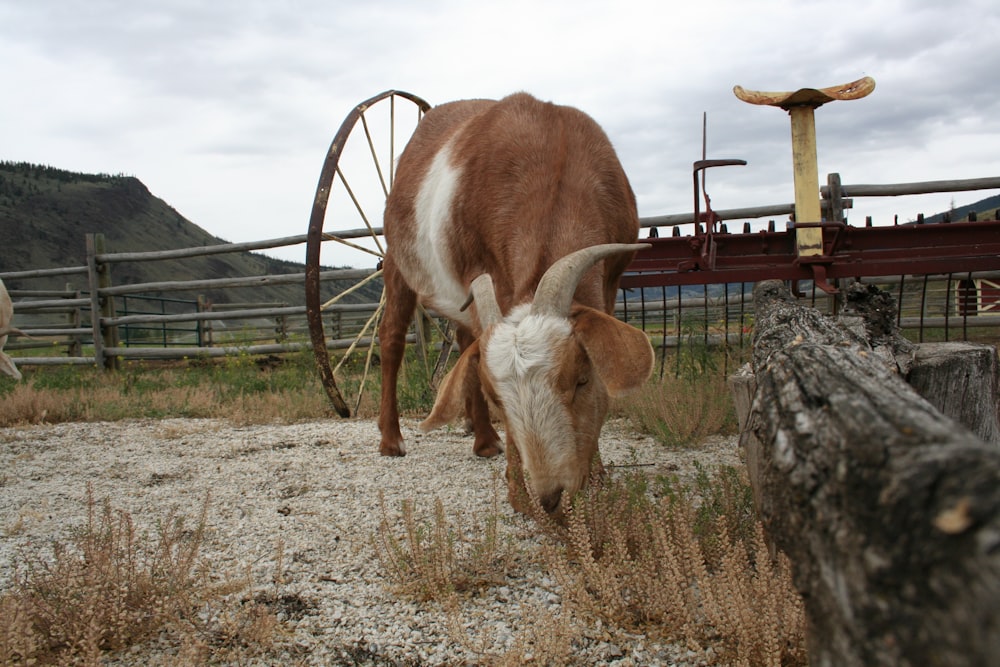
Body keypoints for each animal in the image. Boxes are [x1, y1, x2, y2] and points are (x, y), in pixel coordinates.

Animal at [378, 91, 652, 516]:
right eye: (498, 399)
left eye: (582, 379)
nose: (550, 497)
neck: (556, 150)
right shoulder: (486, 273)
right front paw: (517, 491)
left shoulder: (612, 279)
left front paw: (598, 477)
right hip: (397, 259)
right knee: (391, 338)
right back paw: (392, 440)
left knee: (464, 341)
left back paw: (483, 439)